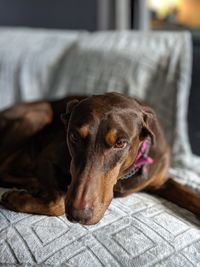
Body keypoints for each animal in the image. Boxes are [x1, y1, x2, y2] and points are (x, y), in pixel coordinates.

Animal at [0, 93, 199, 225]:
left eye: (120, 143)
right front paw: (18, 198)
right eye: (74, 136)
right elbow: (58, 203)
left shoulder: (161, 180)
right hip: (39, 114)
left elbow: (189, 194)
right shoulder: (46, 158)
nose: (78, 215)